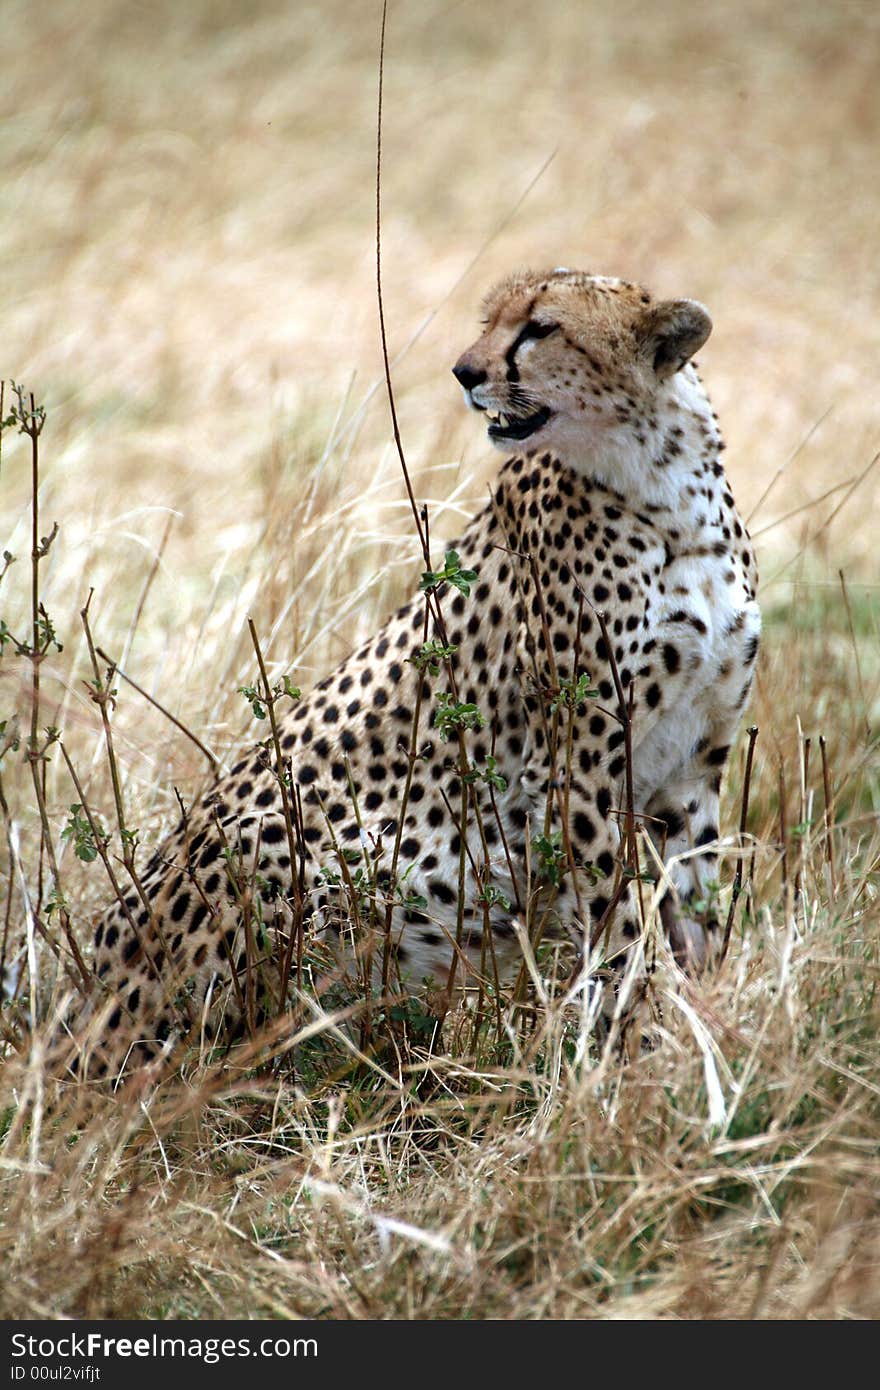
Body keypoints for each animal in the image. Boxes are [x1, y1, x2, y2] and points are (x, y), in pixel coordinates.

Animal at [75, 268, 756, 1073]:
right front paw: (638, 1045)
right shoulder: (578, 764)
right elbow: (617, 925)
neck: (668, 494)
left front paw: (703, 1031)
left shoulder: (690, 766)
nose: (465, 372)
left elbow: (696, 912)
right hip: (265, 838)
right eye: (489, 322)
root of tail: (84, 994)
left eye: (541, 327)